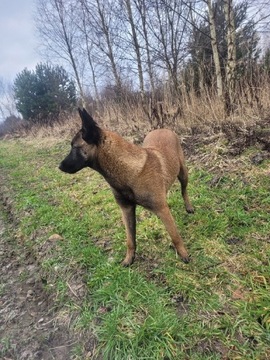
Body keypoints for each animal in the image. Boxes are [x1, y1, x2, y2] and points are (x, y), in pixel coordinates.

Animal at [59, 108, 194, 266]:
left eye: (74, 147)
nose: (60, 166)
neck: (128, 170)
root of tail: (163, 129)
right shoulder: (127, 210)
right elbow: (130, 240)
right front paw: (129, 259)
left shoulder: (162, 210)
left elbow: (175, 236)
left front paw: (183, 254)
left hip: (183, 174)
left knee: (184, 191)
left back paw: (189, 207)